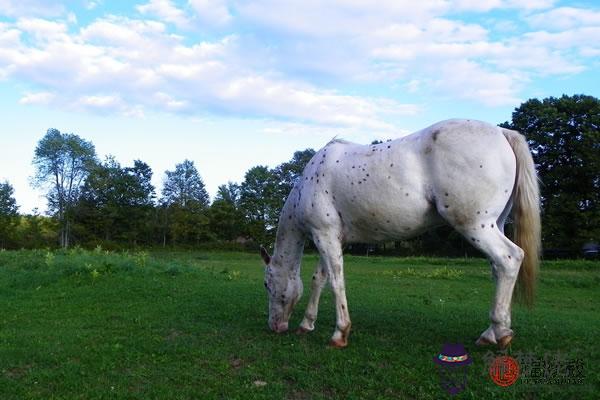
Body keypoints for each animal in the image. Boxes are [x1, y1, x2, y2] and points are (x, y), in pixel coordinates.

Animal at [260, 118, 540, 346]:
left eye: (266, 283)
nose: (275, 327)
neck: (309, 182)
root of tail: (502, 132)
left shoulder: (324, 236)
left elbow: (336, 281)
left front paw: (340, 333)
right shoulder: (330, 238)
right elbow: (320, 278)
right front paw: (307, 324)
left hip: (475, 225)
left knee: (509, 259)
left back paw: (500, 333)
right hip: (494, 224)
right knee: (498, 269)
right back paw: (492, 333)